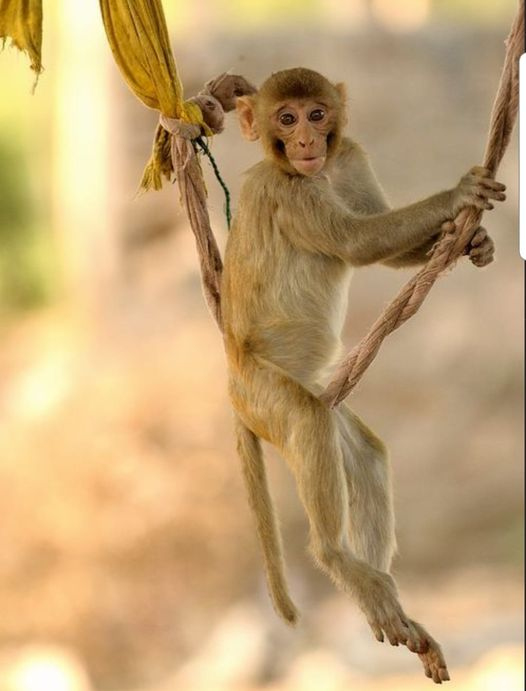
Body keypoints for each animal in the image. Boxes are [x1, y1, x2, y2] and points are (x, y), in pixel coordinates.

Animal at [220, 67, 505, 684]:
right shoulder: (292, 194)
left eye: (317, 114)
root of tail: (231, 388)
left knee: (360, 448)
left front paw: (475, 241)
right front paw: (457, 195)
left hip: (305, 394)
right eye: (286, 118)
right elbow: (358, 242)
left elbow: (384, 250)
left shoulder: (348, 157)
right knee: (306, 420)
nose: (306, 141)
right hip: (264, 393)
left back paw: (390, 605)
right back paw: (338, 560)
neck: (314, 172)